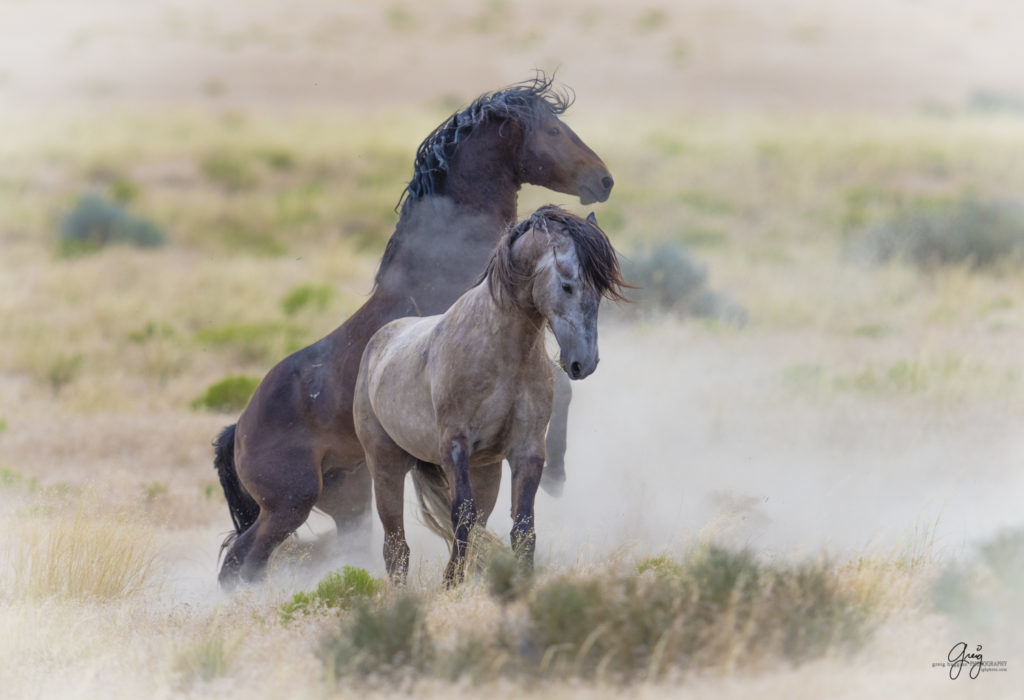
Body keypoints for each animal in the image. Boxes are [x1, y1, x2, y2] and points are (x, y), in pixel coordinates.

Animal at [211, 75, 610, 589]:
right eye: (554, 131)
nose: (603, 180)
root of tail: (237, 429)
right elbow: (563, 383)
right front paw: (558, 473)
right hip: (289, 504)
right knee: (244, 559)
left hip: (348, 501)